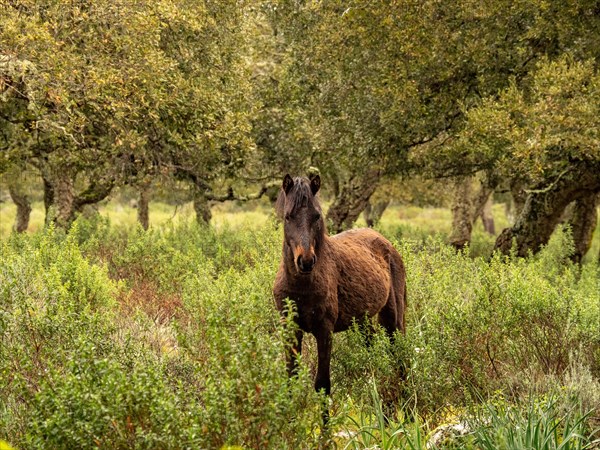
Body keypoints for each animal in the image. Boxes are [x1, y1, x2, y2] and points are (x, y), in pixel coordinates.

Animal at [274, 173, 408, 418]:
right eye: (288, 216)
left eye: (317, 215)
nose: (305, 261)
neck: (301, 285)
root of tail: (387, 244)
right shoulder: (291, 329)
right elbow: (290, 380)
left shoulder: (324, 331)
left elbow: (322, 385)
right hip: (364, 324)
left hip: (393, 320)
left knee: (399, 359)